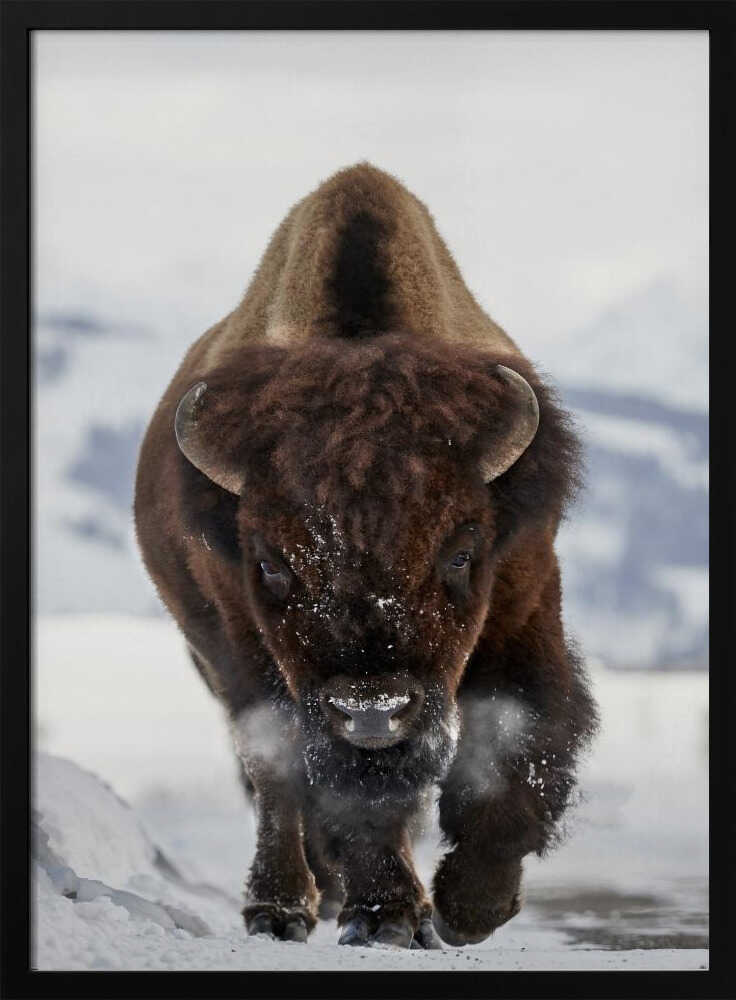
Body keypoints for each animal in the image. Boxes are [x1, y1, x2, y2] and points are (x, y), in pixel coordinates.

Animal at [134, 163, 597, 950]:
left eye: (462, 551)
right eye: (271, 563)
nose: (373, 712)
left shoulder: (524, 603)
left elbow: (517, 738)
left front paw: (469, 908)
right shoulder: (247, 645)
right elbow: (324, 784)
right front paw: (386, 915)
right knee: (277, 778)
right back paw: (284, 908)